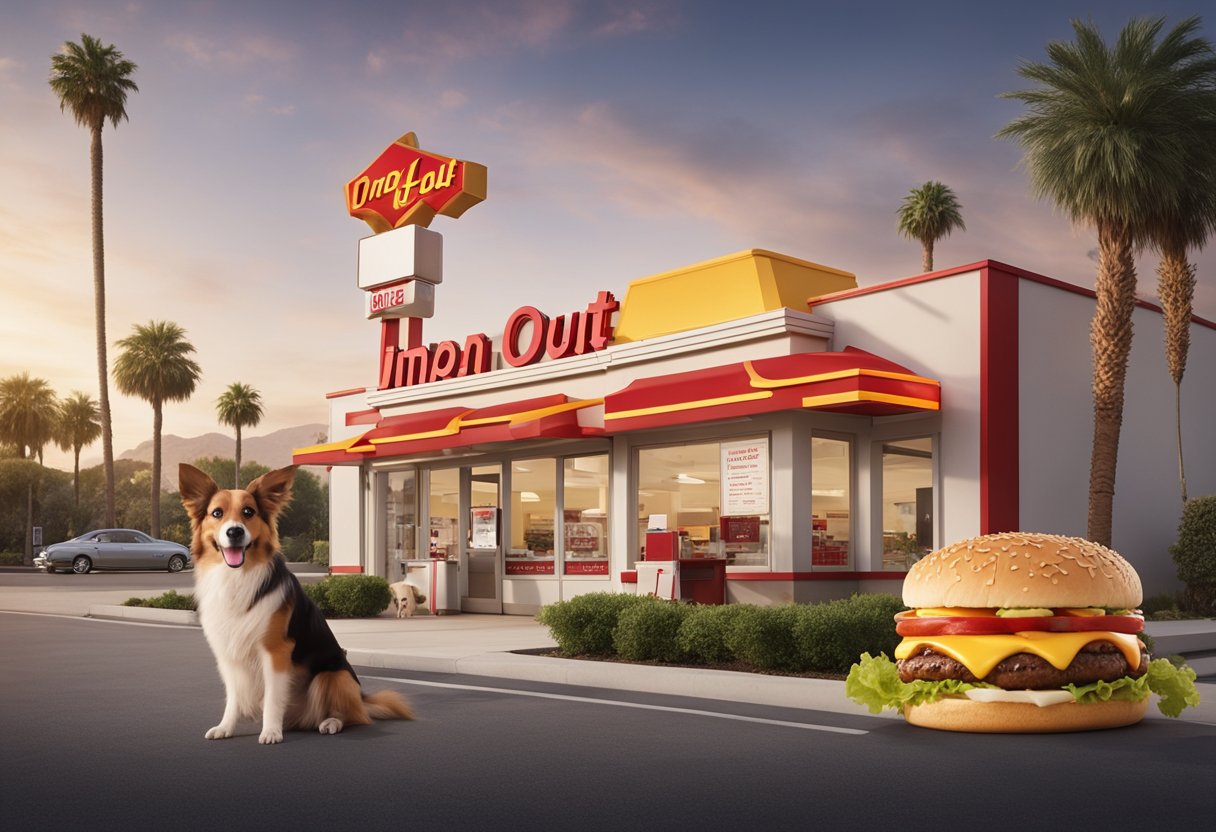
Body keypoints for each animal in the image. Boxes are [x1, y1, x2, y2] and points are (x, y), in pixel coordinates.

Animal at [177, 464, 413, 744]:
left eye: (248, 512)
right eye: (217, 513)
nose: (235, 532)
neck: (237, 577)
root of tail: (362, 698)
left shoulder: (276, 651)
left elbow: (273, 697)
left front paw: (270, 731)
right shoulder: (228, 654)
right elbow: (233, 697)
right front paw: (226, 727)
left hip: (333, 675)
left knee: (353, 716)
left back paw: (330, 722)